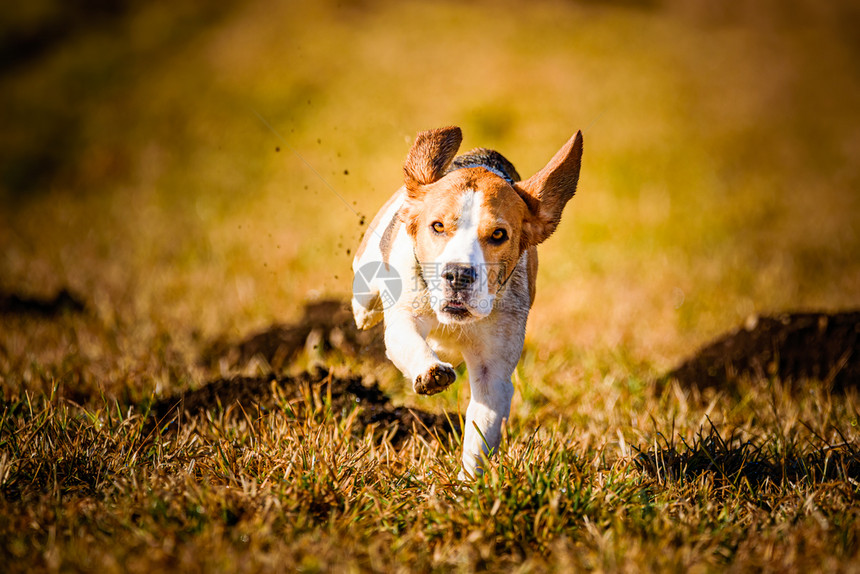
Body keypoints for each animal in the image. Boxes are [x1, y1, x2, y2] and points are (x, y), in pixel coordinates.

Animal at [352, 128, 584, 480]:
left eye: (499, 234)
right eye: (437, 226)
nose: (459, 274)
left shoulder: (494, 371)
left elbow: (481, 430)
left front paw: (468, 484)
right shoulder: (404, 317)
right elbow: (409, 338)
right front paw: (431, 372)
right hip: (365, 288)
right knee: (365, 307)